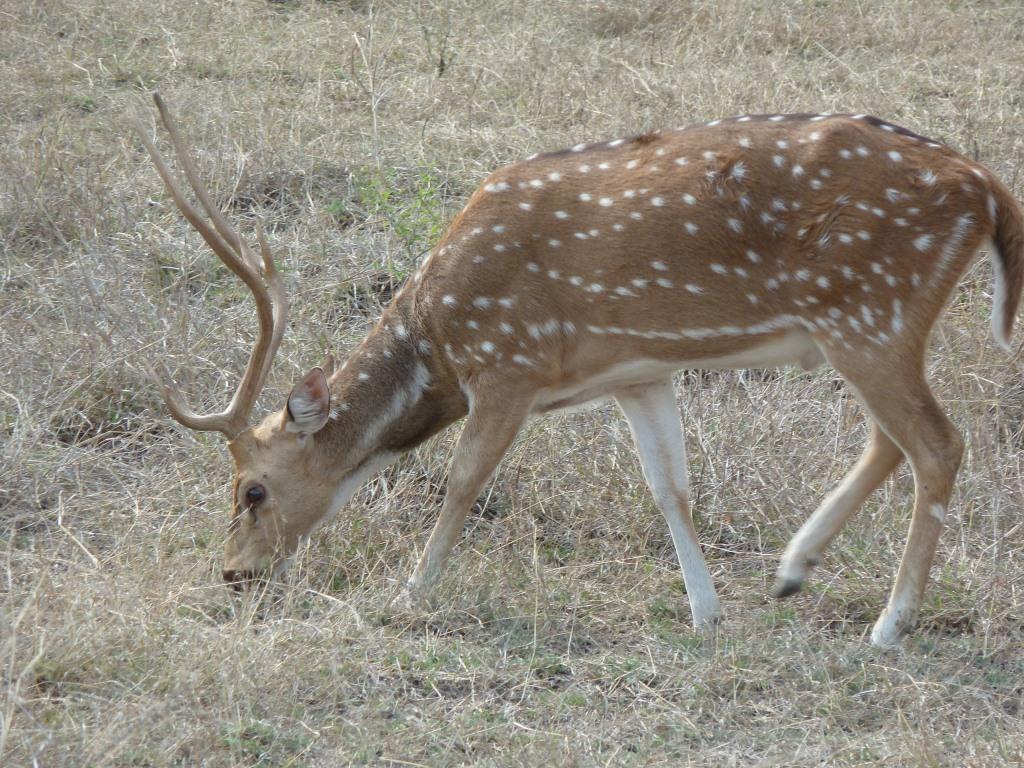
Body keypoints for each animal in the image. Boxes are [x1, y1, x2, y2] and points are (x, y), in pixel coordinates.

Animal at [135, 93, 1023, 648]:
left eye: (252, 489)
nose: (233, 574)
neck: (438, 339)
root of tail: (987, 189)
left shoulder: (510, 364)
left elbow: (462, 480)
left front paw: (410, 595)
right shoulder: (636, 374)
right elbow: (671, 487)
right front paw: (706, 612)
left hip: (872, 314)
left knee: (938, 444)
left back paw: (888, 625)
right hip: (871, 326)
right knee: (892, 442)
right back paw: (791, 572)